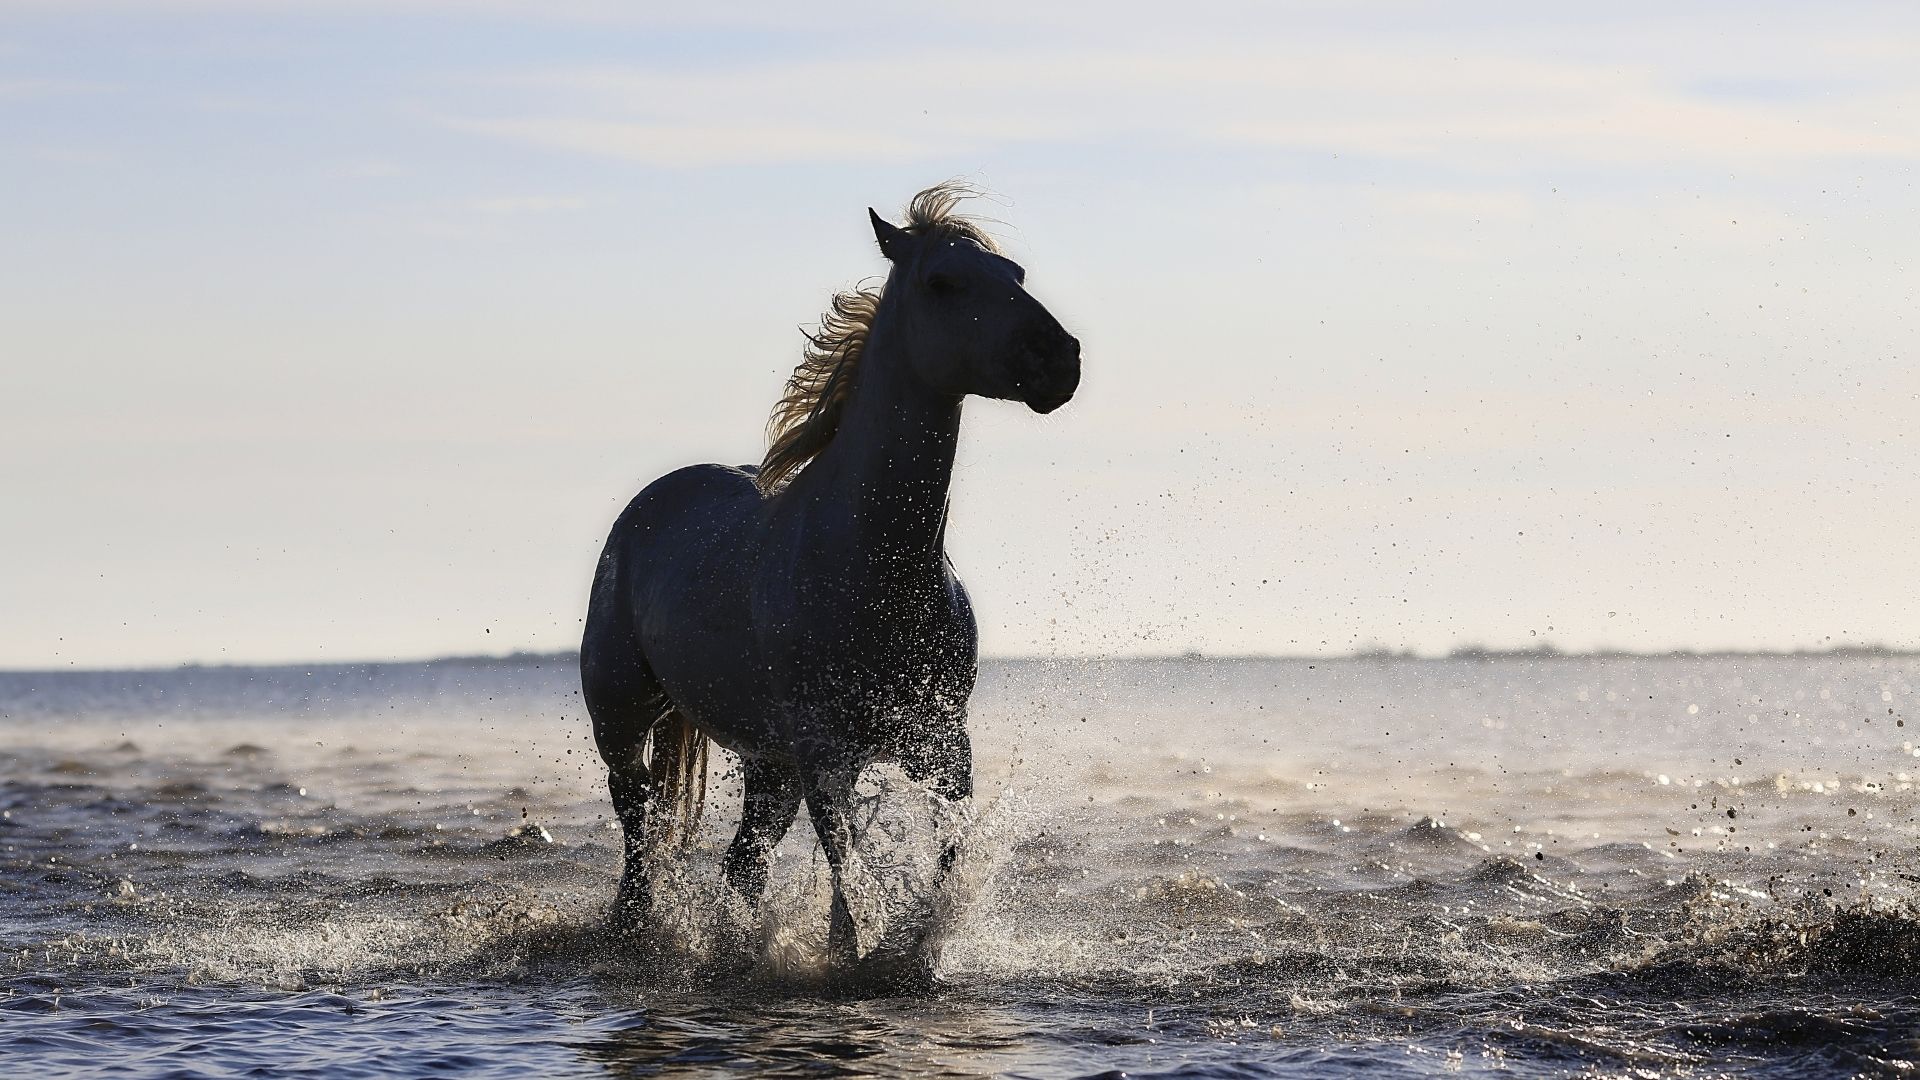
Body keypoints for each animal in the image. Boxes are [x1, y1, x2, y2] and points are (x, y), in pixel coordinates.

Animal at [576, 180, 1082, 960]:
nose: (1061, 359)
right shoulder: (824, 752)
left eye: (1016, 274)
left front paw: (916, 944)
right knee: (640, 836)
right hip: (624, 723)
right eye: (944, 281)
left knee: (742, 864)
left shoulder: (942, 743)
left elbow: (945, 854)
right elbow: (847, 868)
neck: (874, 566)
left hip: (768, 765)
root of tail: (646, 506)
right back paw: (634, 928)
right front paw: (854, 951)